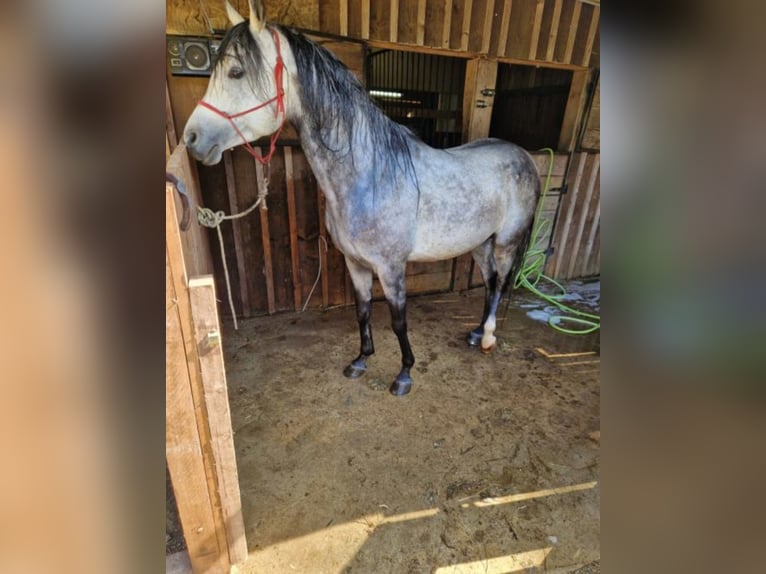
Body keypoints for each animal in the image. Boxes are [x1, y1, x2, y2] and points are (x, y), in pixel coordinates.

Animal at [184, 0, 540, 396]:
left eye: (236, 71)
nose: (192, 139)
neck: (368, 178)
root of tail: (524, 157)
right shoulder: (355, 264)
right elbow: (363, 311)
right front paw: (360, 361)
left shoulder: (391, 267)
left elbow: (398, 321)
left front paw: (404, 375)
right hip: (479, 243)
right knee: (491, 281)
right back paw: (476, 333)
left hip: (506, 241)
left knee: (502, 281)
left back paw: (489, 337)